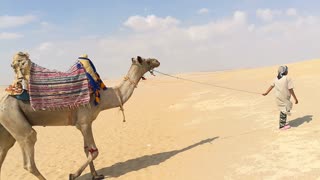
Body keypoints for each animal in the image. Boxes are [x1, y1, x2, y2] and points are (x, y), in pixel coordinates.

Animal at [0, 55, 160, 179]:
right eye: (146, 60)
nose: (157, 61)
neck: (104, 97)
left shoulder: (83, 124)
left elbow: (87, 149)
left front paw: (96, 175)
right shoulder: (84, 122)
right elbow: (94, 150)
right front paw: (73, 175)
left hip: (7, 126)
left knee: (4, 149)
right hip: (14, 118)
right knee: (29, 152)